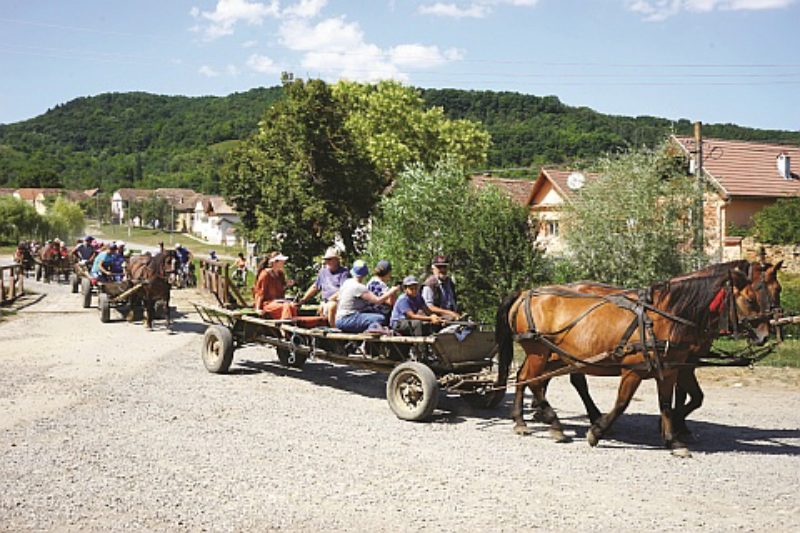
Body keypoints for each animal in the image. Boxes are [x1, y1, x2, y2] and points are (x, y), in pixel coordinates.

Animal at [496, 264, 772, 450]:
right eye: (751, 299)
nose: (765, 334)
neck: (664, 317)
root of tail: (525, 293)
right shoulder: (635, 369)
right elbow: (622, 403)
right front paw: (597, 432)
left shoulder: (671, 367)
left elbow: (668, 403)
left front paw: (673, 439)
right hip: (539, 351)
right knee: (534, 381)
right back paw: (552, 423)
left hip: (550, 355)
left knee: (525, 377)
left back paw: (522, 419)